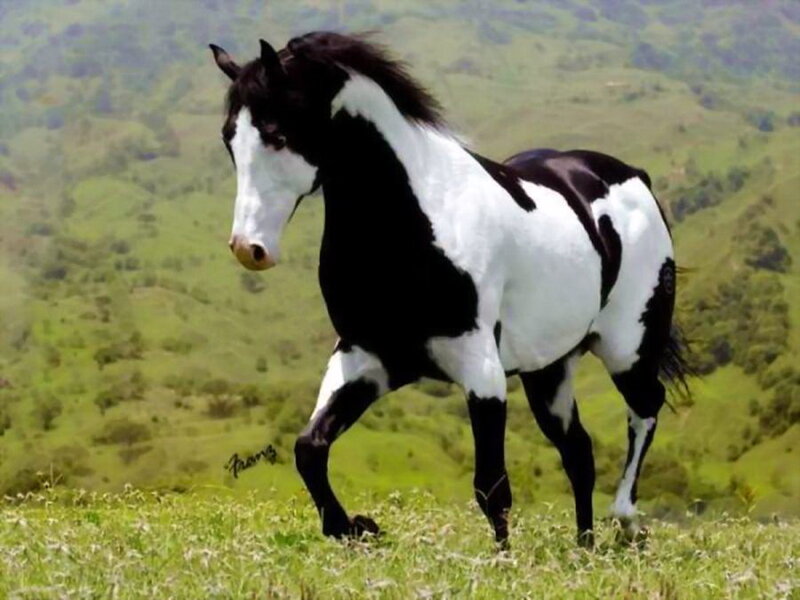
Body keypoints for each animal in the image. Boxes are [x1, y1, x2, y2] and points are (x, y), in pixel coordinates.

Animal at [209, 32, 690, 548]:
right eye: (229, 138)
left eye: (278, 134)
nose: (249, 248)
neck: (417, 223)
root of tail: (634, 176)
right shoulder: (366, 358)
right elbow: (309, 448)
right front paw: (355, 527)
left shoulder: (481, 370)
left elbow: (491, 487)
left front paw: (501, 560)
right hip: (551, 369)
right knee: (578, 450)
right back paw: (584, 547)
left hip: (628, 350)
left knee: (645, 408)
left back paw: (626, 519)